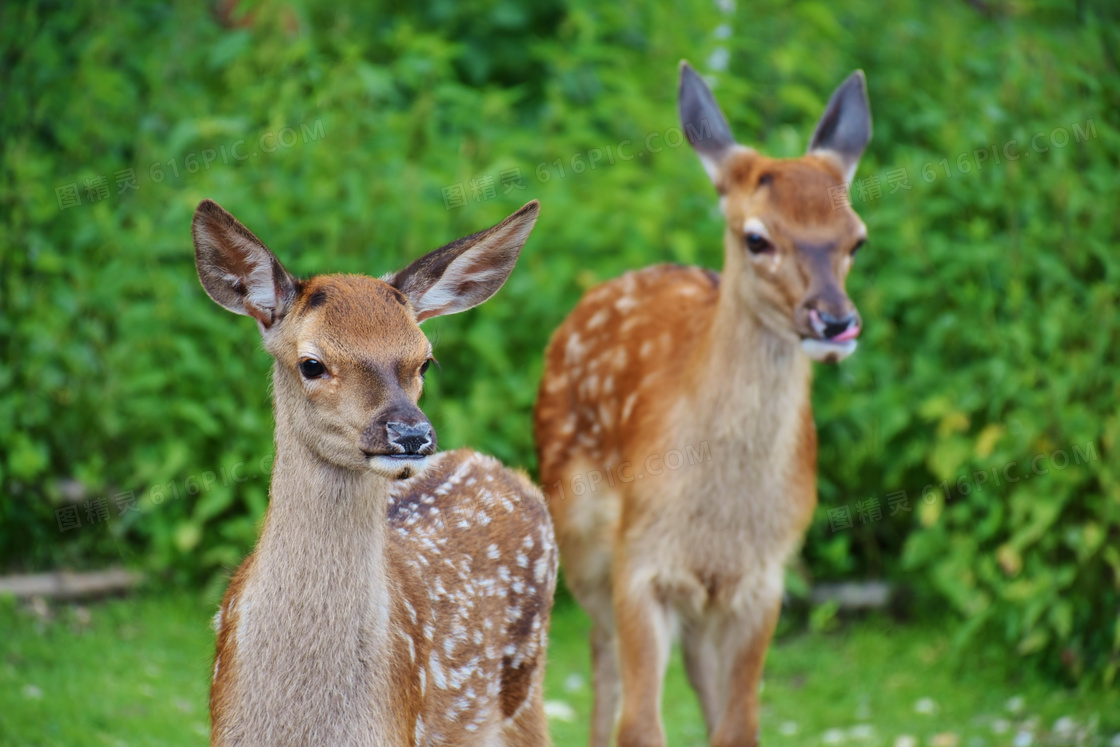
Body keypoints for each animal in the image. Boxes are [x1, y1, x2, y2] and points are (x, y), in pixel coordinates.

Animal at [533, 64, 873, 747]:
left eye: (856, 240)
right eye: (757, 238)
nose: (834, 321)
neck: (719, 514)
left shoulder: (763, 578)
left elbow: (739, 723)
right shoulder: (640, 561)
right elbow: (639, 724)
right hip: (580, 536)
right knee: (603, 660)